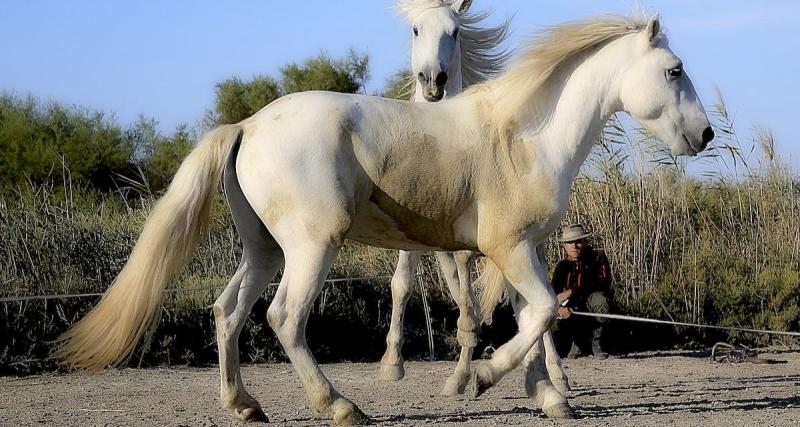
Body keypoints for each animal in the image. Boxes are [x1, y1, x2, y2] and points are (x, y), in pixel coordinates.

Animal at [54, 14, 713, 425]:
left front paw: (548, 399)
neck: (526, 136)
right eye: (676, 69)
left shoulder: (522, 250)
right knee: (283, 318)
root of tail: (246, 125)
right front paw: (484, 379)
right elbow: (544, 312)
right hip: (310, 248)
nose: (705, 135)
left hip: (264, 250)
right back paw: (341, 407)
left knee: (227, 312)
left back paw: (244, 405)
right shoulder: (510, 249)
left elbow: (535, 319)